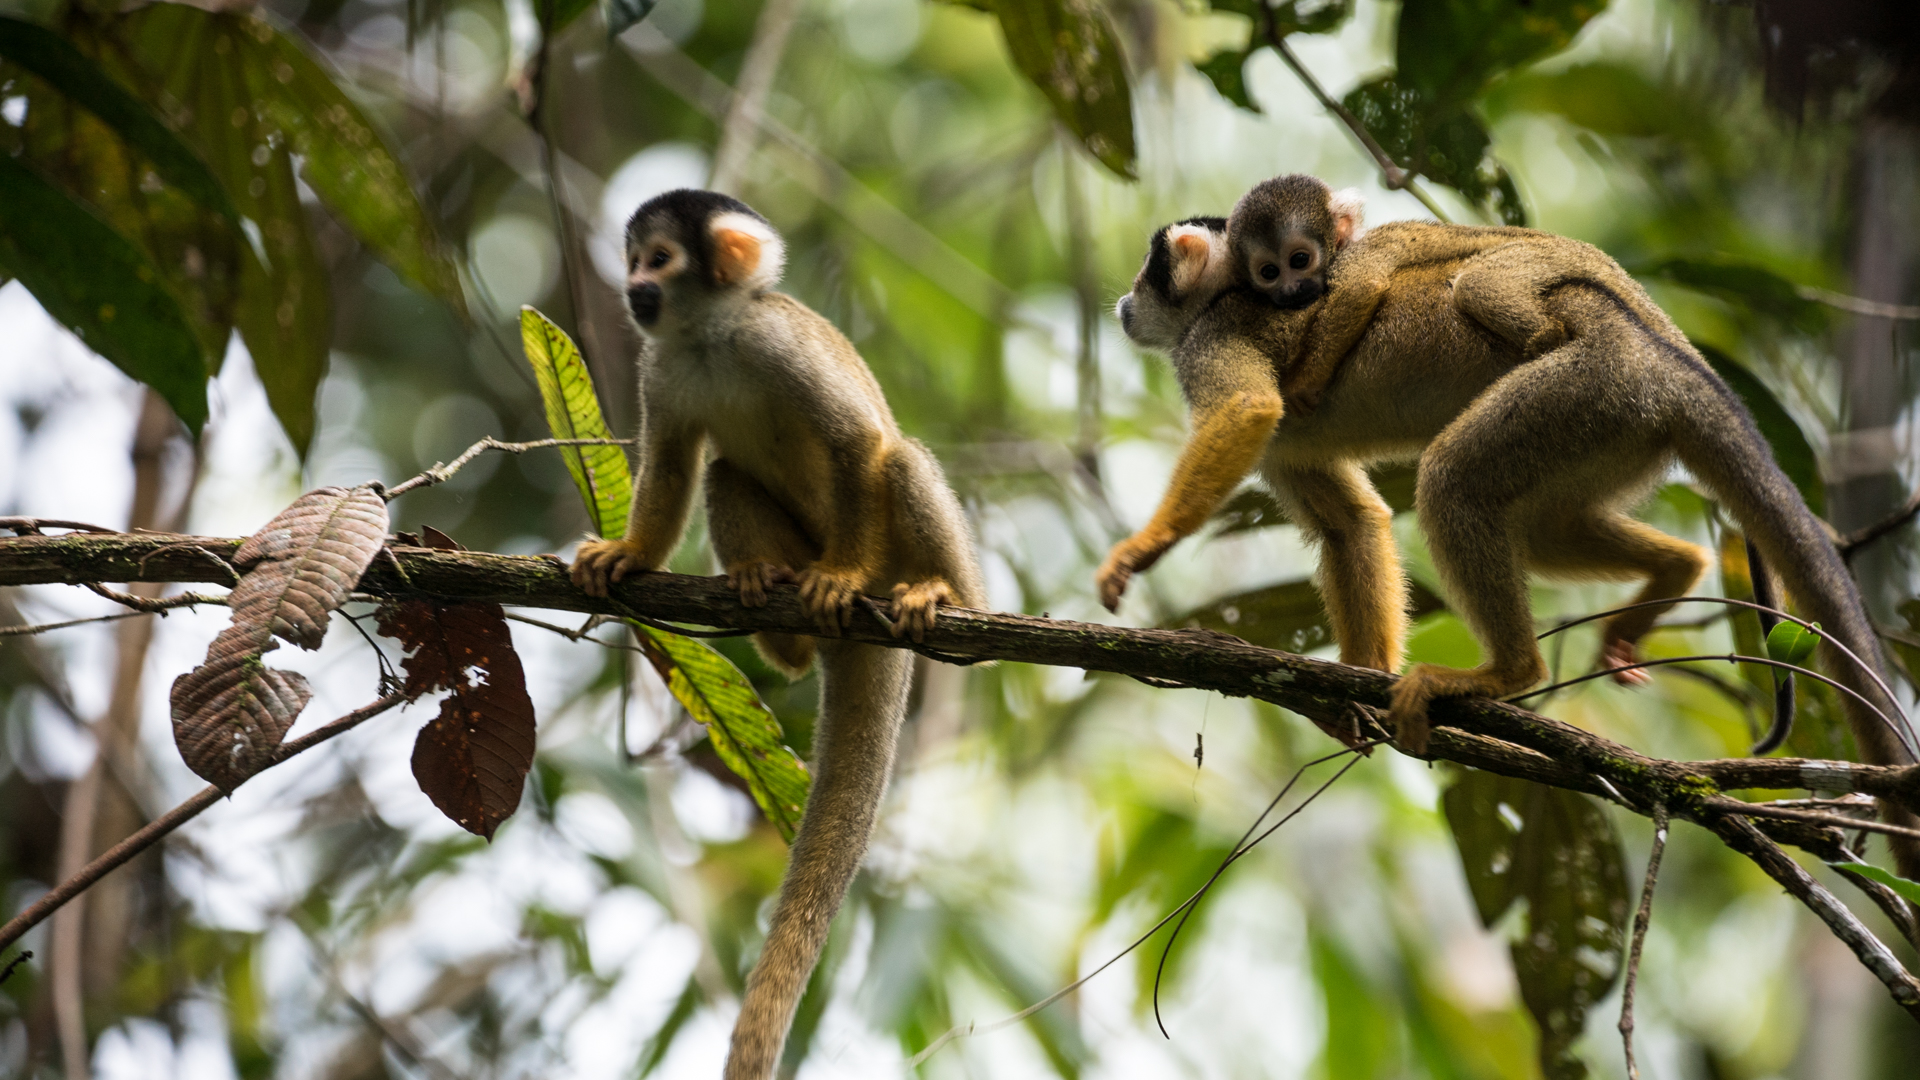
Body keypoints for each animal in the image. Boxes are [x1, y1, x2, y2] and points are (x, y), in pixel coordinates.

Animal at [564, 189, 983, 1068]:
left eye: (658, 260)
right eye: (633, 260)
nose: (633, 288)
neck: (709, 336)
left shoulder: (776, 341)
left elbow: (860, 443)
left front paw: (841, 578)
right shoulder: (661, 368)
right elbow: (673, 467)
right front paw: (629, 554)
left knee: (899, 459)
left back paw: (937, 597)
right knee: (726, 471)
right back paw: (779, 619)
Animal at [1105, 174, 1912, 876]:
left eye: (1148, 272)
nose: (1122, 305)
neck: (1226, 296)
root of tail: (1662, 354)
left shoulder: (1212, 340)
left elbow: (1250, 410)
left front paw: (1143, 549)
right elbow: (1349, 522)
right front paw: (1353, 692)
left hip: (1583, 382)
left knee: (1454, 481)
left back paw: (1509, 672)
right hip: (1615, 425)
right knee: (1544, 527)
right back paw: (1673, 570)